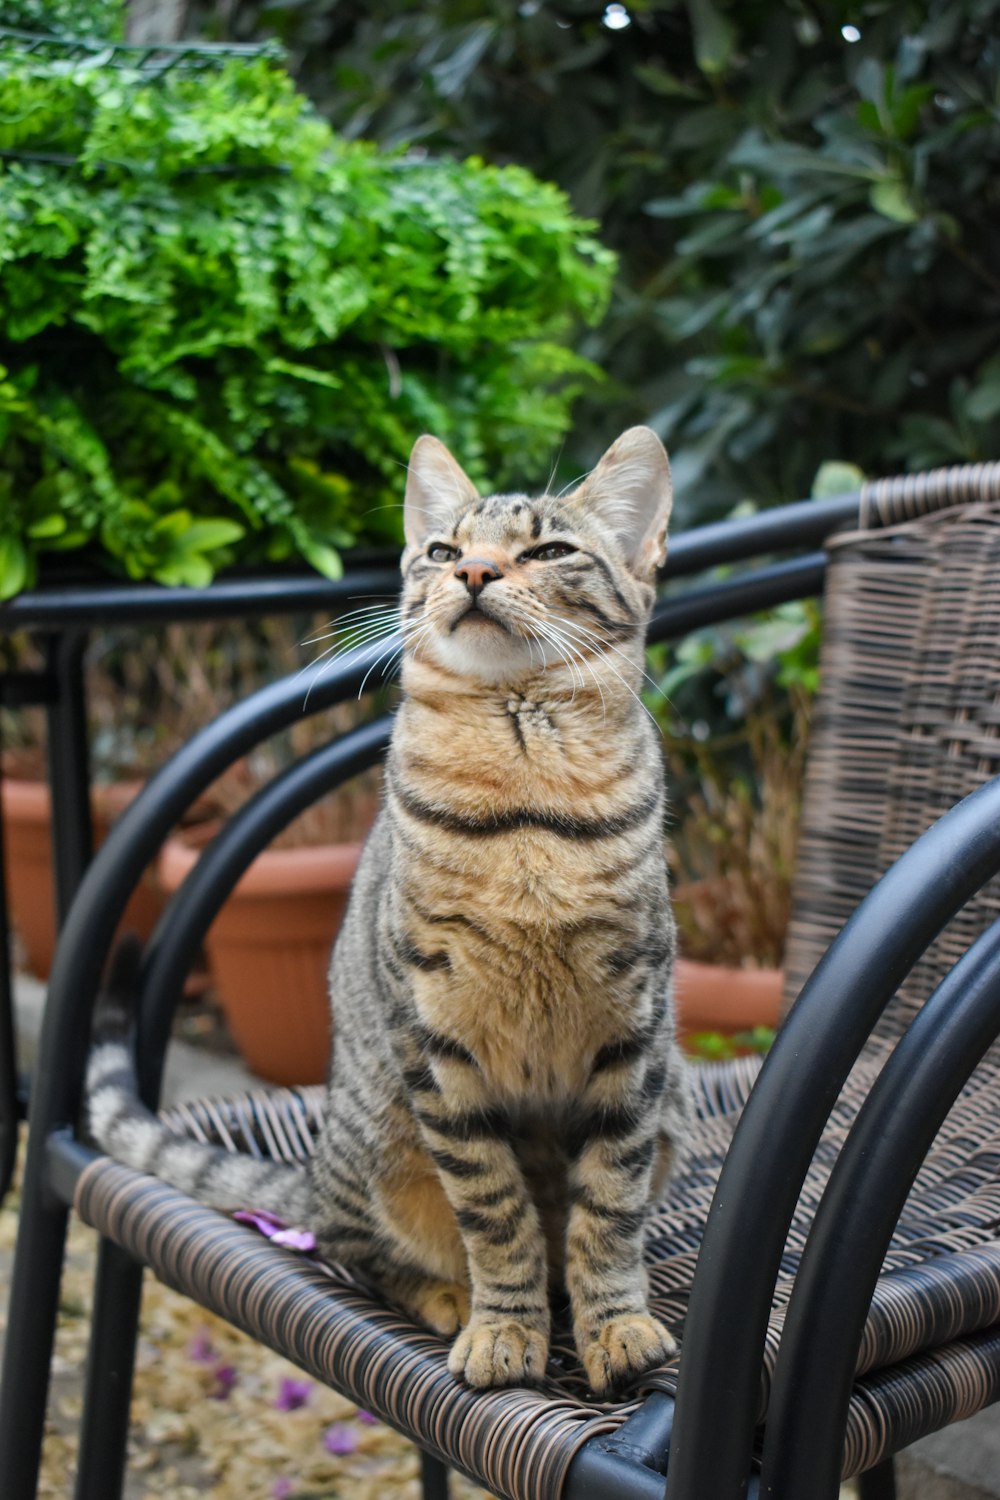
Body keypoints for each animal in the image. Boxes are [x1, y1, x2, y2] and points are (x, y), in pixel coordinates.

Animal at [89, 423, 692, 1392]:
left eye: (548, 551)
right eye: (444, 551)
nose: (474, 572)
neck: (525, 794)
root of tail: (311, 1170)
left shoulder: (631, 1037)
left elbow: (607, 1210)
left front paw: (616, 1328)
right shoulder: (437, 1038)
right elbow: (497, 1214)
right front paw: (504, 1331)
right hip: (385, 1152)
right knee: (359, 1252)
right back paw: (451, 1300)